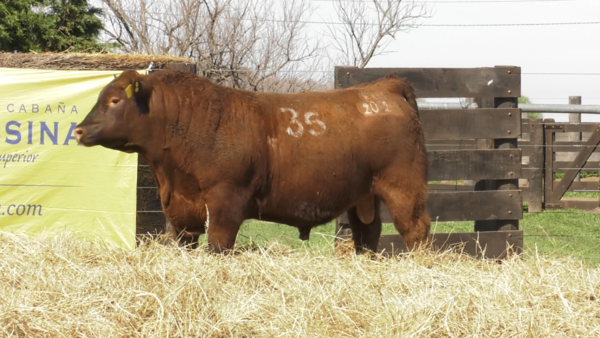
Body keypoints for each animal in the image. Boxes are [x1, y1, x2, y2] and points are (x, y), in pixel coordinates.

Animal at [75, 70, 432, 252]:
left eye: (114, 100)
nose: (78, 130)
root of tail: (383, 87)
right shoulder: (182, 216)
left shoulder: (225, 204)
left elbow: (219, 245)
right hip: (364, 196)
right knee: (368, 232)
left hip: (404, 189)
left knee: (416, 230)